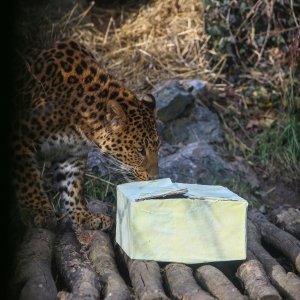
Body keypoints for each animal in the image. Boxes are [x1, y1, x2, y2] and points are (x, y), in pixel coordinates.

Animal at [11, 38, 162, 231]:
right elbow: (28, 179)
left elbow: (72, 186)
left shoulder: (71, 154)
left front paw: (83, 216)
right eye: (140, 150)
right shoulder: (19, 137)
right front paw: (40, 212)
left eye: (158, 148)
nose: (154, 178)